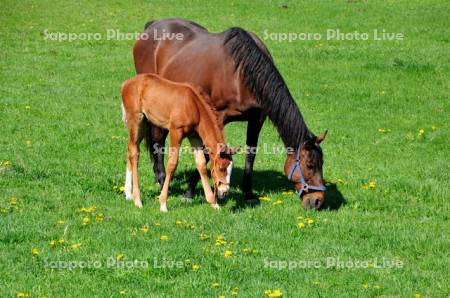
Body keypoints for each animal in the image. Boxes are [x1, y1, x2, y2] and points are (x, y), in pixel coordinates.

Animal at [119, 73, 239, 211]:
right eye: (221, 168)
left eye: (230, 168)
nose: (225, 191)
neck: (194, 106)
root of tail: (127, 83)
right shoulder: (175, 132)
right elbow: (172, 164)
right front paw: (163, 203)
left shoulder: (194, 136)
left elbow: (201, 164)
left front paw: (213, 203)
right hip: (136, 119)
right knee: (134, 152)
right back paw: (137, 200)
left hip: (144, 122)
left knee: (131, 149)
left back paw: (128, 194)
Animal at [133, 18, 326, 210]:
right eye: (309, 165)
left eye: (322, 163)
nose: (317, 201)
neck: (241, 73)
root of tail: (152, 25)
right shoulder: (217, 118)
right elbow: (207, 154)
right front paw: (190, 192)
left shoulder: (257, 119)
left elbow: (251, 153)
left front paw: (248, 193)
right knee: (158, 138)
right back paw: (161, 180)